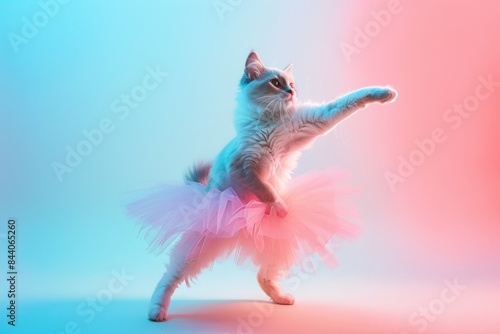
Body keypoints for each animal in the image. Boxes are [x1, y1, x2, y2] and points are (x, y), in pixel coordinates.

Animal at [131, 50, 396, 320]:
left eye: (291, 84)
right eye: (275, 83)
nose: (290, 92)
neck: (271, 123)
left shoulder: (313, 122)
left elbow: (350, 100)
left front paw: (385, 93)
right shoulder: (244, 169)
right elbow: (266, 190)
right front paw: (279, 206)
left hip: (277, 240)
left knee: (263, 274)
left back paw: (282, 298)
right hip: (196, 250)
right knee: (169, 277)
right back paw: (156, 311)